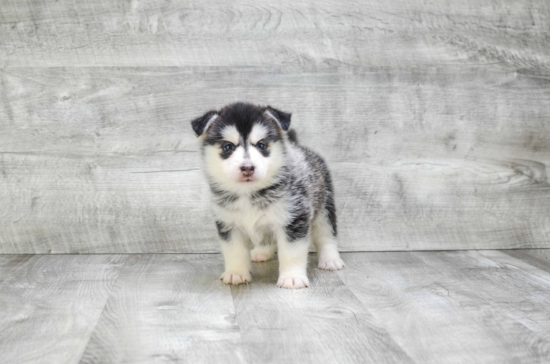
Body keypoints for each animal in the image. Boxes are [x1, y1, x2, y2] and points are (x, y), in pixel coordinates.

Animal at [191, 102, 344, 290]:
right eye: (228, 147)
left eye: (261, 145)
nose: (247, 167)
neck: (248, 193)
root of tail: (300, 147)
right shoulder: (229, 224)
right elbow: (234, 251)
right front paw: (236, 273)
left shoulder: (293, 220)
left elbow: (291, 252)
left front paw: (292, 278)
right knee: (267, 238)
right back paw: (262, 252)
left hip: (324, 207)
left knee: (326, 235)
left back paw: (331, 259)